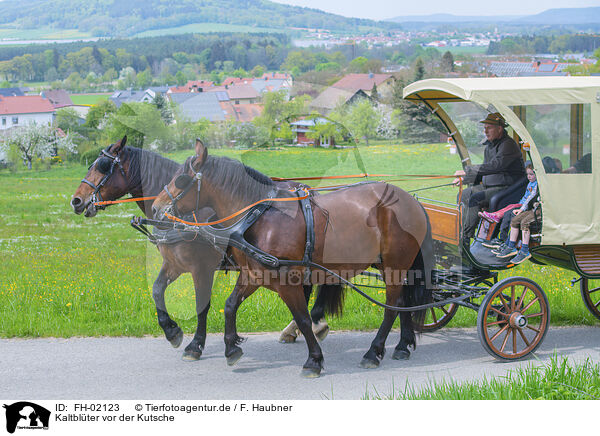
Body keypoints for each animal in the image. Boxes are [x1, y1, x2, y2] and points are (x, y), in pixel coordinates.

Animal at [70, 138, 338, 360]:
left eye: (103, 166)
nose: (76, 201)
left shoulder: (201, 268)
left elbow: (202, 306)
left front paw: (196, 345)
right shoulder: (174, 265)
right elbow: (157, 291)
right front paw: (172, 331)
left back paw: (311, 324)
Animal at [150, 141, 432, 376]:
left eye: (181, 179)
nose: (155, 208)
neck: (258, 216)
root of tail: (411, 201)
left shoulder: (286, 280)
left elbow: (303, 319)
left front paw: (314, 360)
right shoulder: (254, 274)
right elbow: (230, 305)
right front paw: (231, 348)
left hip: (395, 265)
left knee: (392, 306)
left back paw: (374, 352)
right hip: (392, 266)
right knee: (403, 303)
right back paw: (402, 346)